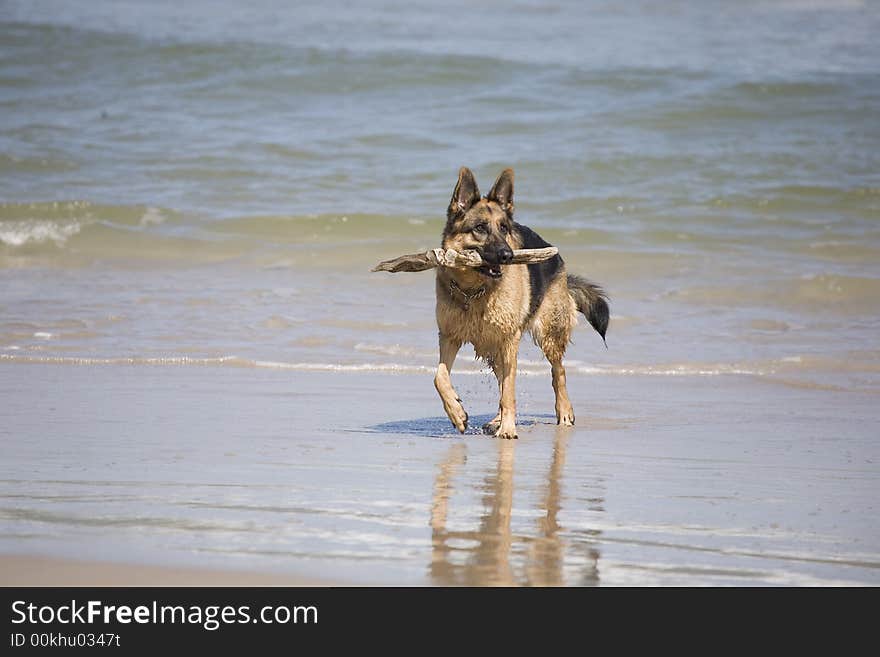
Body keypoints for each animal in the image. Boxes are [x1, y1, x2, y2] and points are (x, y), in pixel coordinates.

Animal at [434, 167, 612, 438]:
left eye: (504, 228)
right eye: (480, 227)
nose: (507, 256)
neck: (474, 291)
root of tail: (554, 253)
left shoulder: (509, 341)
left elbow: (509, 391)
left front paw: (508, 429)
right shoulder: (449, 337)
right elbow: (439, 377)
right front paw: (457, 413)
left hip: (547, 333)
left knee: (557, 371)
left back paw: (563, 412)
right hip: (494, 347)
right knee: (502, 381)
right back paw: (496, 420)